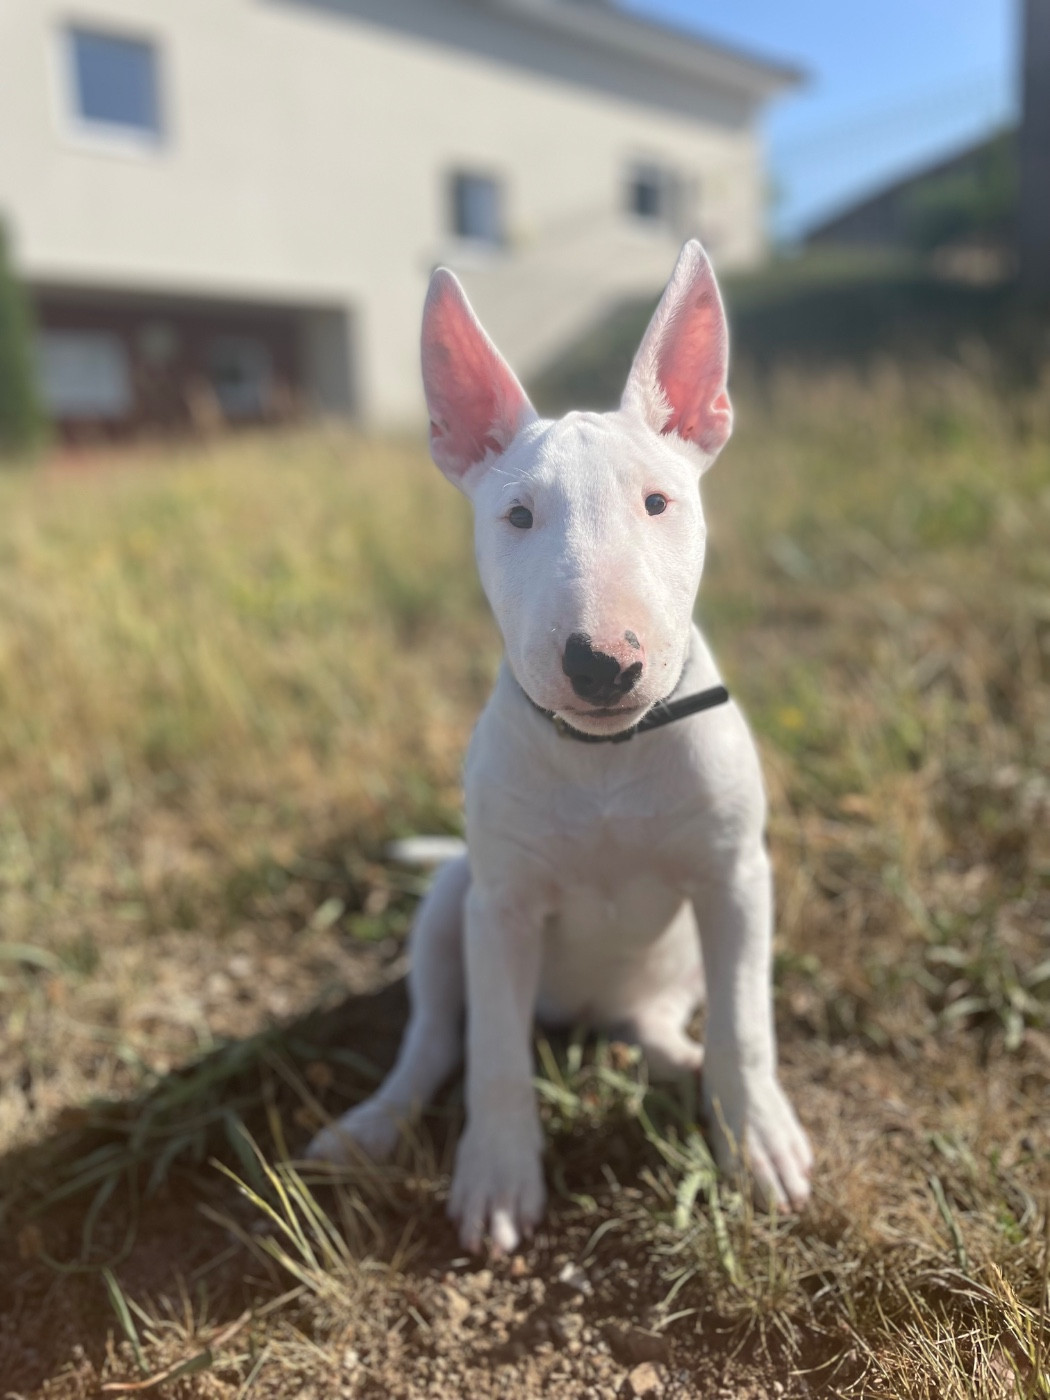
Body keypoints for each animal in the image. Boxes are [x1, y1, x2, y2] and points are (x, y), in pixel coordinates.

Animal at [306, 240, 812, 1254]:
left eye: (658, 502)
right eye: (518, 517)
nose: (603, 663)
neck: (604, 756)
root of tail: (585, 1015)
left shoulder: (737, 877)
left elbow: (747, 1024)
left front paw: (759, 1138)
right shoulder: (500, 908)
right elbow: (495, 1051)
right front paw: (499, 1177)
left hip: (677, 956)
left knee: (667, 1020)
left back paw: (679, 1063)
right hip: (449, 905)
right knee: (435, 1039)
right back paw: (372, 1124)